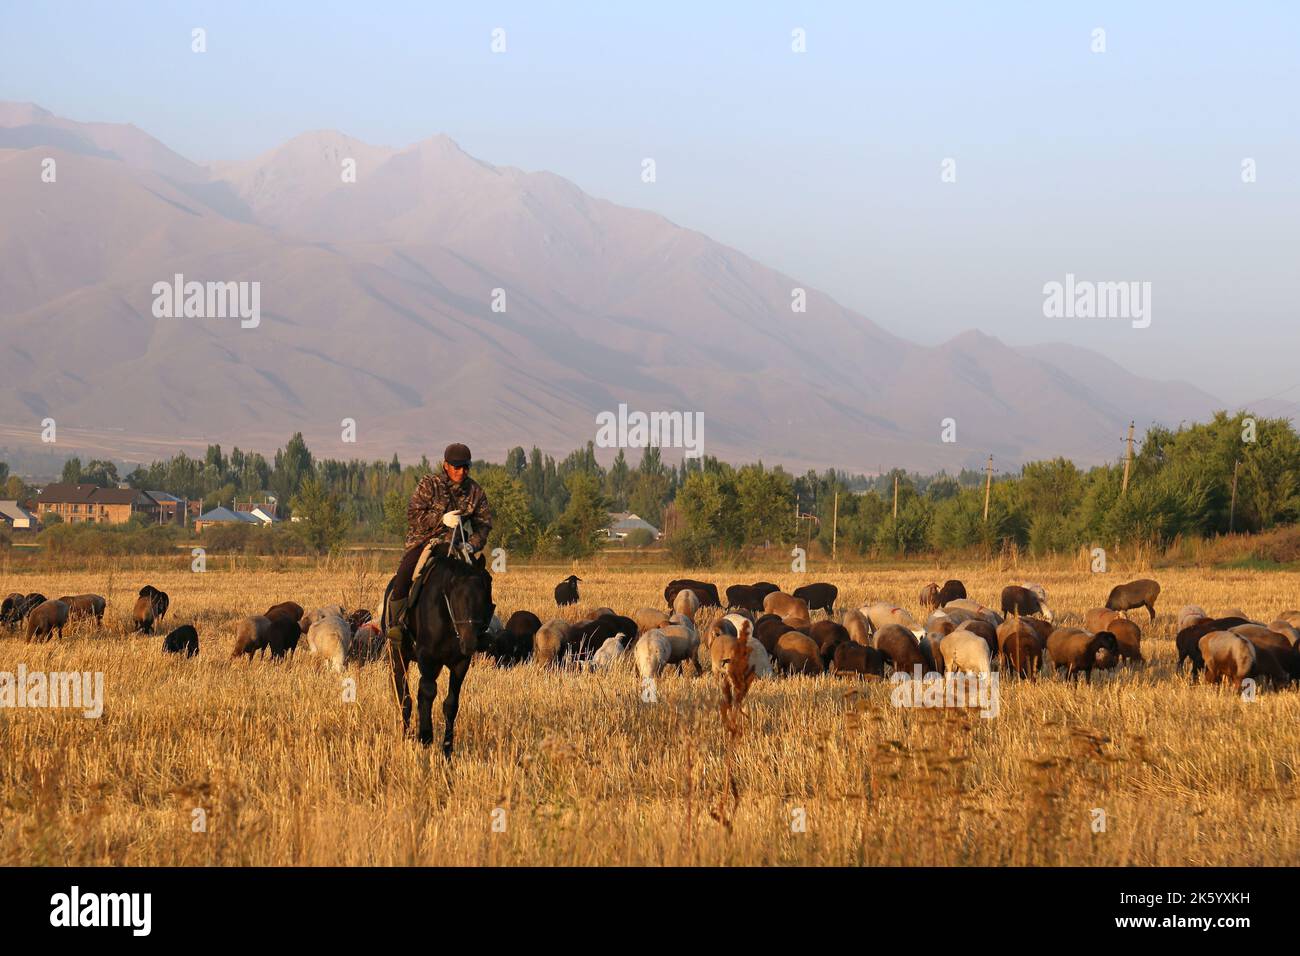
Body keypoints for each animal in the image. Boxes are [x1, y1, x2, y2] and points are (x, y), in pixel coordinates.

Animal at [384, 554, 491, 754]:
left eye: (485, 589)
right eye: (456, 595)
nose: (470, 642)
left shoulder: (460, 664)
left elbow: (451, 704)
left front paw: (447, 748)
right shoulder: (427, 659)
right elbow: (427, 692)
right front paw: (425, 737)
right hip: (398, 656)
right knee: (404, 697)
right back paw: (407, 735)